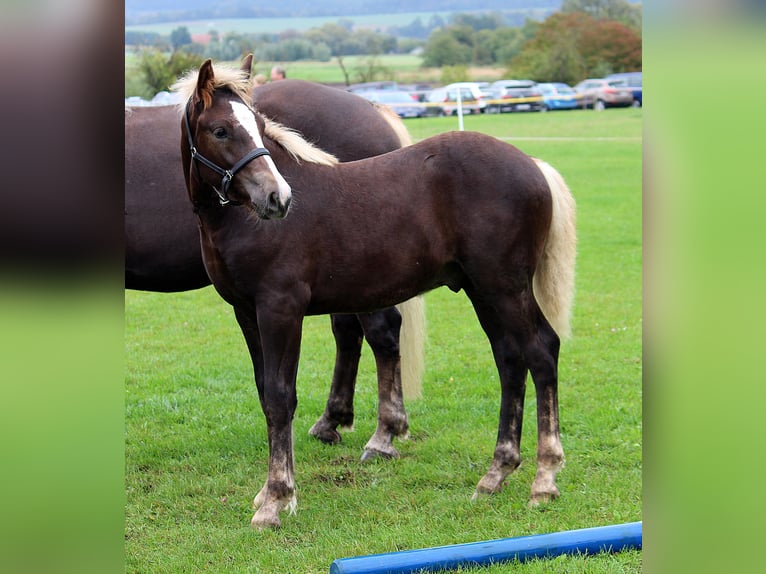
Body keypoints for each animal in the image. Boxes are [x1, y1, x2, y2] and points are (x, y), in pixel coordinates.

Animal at [126, 57, 425, 460]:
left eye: (262, 128)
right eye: (220, 131)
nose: (278, 197)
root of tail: (374, 109)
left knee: (381, 332)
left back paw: (380, 435)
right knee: (350, 332)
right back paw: (333, 421)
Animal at [174, 58, 576, 529]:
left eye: (257, 125)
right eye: (220, 130)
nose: (277, 198)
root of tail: (533, 164)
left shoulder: (280, 310)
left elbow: (280, 397)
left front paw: (276, 499)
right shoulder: (246, 313)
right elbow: (265, 394)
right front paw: (271, 494)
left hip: (505, 287)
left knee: (541, 353)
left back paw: (544, 479)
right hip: (484, 291)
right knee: (510, 360)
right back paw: (496, 474)